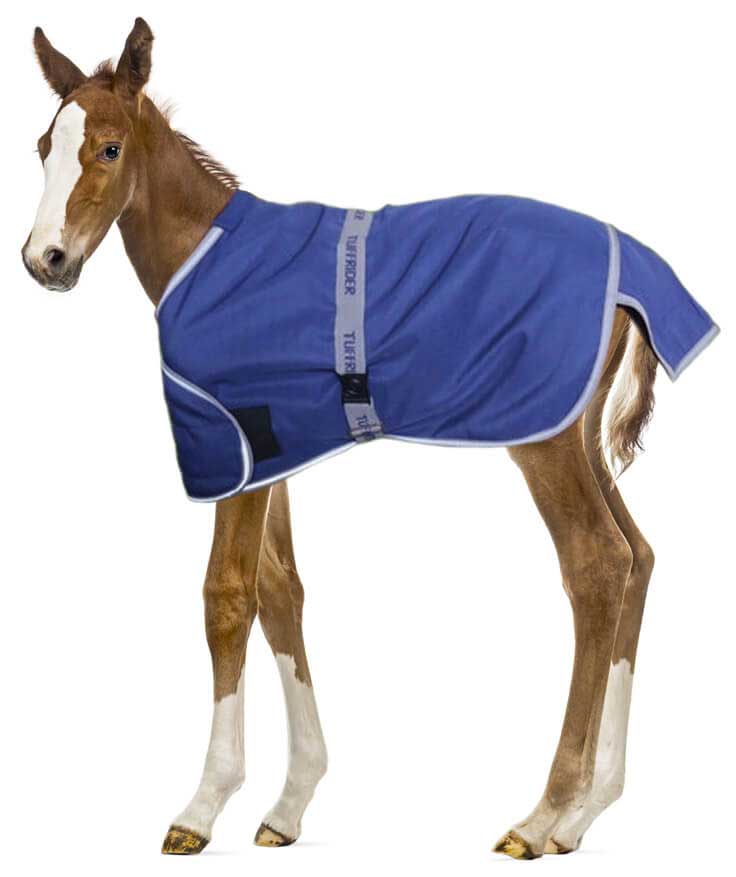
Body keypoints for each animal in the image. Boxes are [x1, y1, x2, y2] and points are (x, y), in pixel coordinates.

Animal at [21, 18, 718, 859]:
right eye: (42, 147)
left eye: (110, 147)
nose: (45, 260)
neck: (207, 253)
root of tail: (635, 269)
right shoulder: (271, 448)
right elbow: (281, 591)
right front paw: (289, 802)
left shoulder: (229, 448)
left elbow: (227, 596)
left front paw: (202, 804)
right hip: (573, 433)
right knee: (639, 557)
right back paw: (587, 811)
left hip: (543, 440)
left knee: (598, 566)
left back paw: (543, 813)